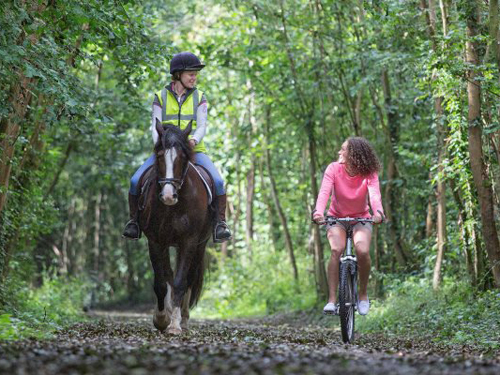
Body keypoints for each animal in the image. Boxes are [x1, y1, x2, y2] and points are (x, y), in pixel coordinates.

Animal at [137, 119, 213, 334]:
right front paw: (161, 318)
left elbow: (181, 282)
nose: (169, 196)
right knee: (170, 275)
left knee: (189, 278)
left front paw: (174, 325)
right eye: (160, 156)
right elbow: (161, 283)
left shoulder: (189, 241)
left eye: (182, 157)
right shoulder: (155, 242)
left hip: (199, 245)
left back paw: (184, 319)